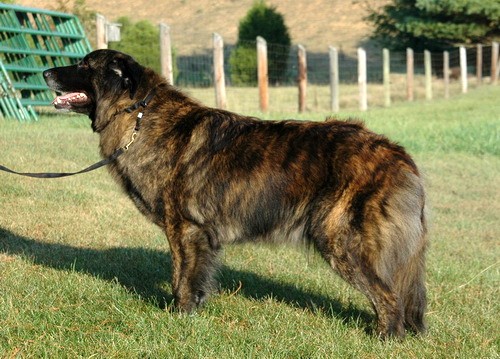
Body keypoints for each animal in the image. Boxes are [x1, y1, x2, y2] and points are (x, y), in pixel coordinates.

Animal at [44, 49, 426, 338]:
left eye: (84, 65)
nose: (46, 71)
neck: (138, 115)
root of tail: (397, 154)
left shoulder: (183, 230)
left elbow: (181, 279)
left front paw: (179, 317)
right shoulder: (199, 236)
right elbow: (196, 278)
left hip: (340, 241)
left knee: (388, 297)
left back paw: (385, 337)